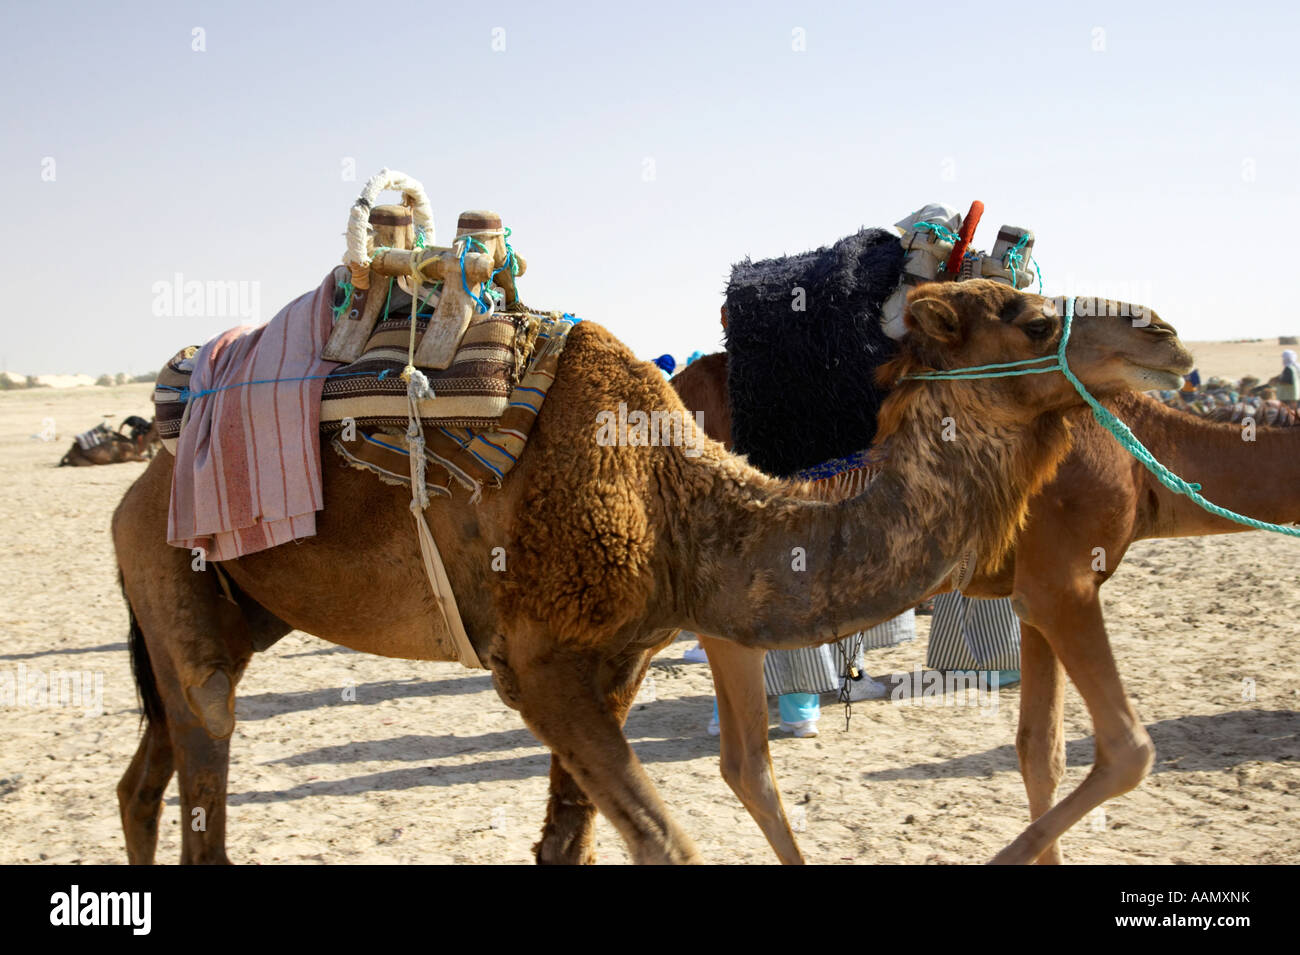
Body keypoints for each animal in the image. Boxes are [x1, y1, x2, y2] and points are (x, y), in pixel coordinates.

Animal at [112, 279, 1191, 864]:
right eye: (1025, 315)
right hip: (174, 579)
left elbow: (568, 840)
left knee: (142, 777)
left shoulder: (622, 656)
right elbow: (663, 839)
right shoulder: (535, 664)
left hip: (226, 608)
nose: (1166, 334)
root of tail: (145, 476)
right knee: (204, 759)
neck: (676, 505)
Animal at [669, 352, 1299, 864]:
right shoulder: (1061, 580)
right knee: (747, 763)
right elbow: (1127, 751)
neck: (1140, 455)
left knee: (739, 762)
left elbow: (1041, 753)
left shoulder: (1039, 596)